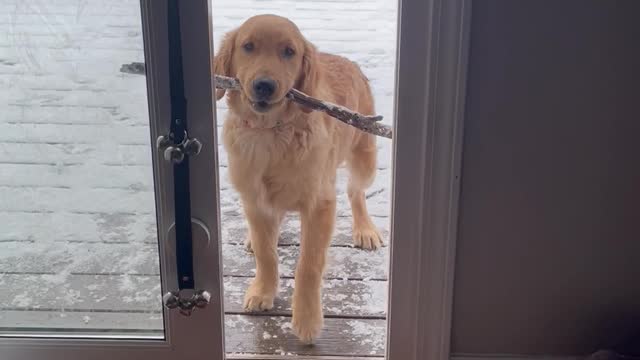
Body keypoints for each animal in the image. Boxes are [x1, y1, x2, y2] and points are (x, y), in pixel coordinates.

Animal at [215, 14, 382, 344]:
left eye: (289, 52)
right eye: (248, 46)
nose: (264, 86)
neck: (269, 134)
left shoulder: (320, 204)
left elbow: (309, 265)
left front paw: (306, 319)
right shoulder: (255, 200)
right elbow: (266, 254)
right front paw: (263, 290)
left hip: (364, 156)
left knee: (356, 192)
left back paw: (365, 229)